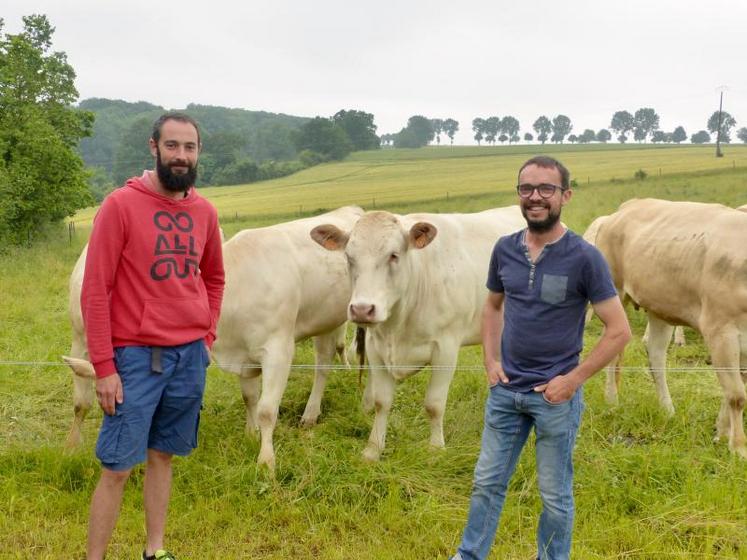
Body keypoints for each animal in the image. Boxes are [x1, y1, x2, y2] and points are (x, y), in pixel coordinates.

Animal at [64, 207, 366, 472]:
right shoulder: (244, 354)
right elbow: (249, 397)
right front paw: (251, 433)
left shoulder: (278, 349)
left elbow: (267, 409)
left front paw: (266, 461)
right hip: (326, 319)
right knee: (324, 361)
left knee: (333, 362)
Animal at [310, 206, 524, 460]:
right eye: (349, 257)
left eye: (393, 255)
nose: (362, 309)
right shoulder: (376, 349)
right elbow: (382, 402)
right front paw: (373, 450)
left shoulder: (445, 350)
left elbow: (434, 404)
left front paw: (435, 449)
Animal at [592, 199, 744, 458]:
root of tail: (628, 206)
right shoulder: (720, 331)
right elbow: (736, 394)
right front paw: (739, 448)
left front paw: (722, 434)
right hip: (615, 294)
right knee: (613, 354)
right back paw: (612, 401)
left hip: (659, 307)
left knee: (656, 357)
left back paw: (667, 409)